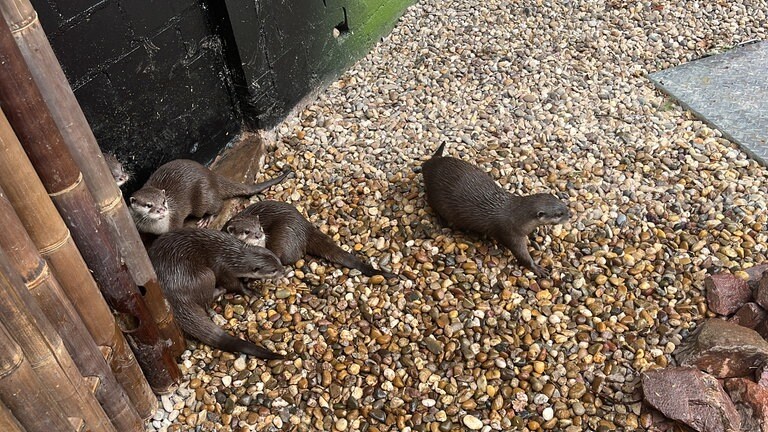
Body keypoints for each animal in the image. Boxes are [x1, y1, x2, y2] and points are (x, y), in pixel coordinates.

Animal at [130, 159, 290, 234]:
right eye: (149, 205)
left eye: (163, 201)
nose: (162, 210)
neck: (154, 228)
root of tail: (211, 176)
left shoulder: (175, 220)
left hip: (203, 197)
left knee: (217, 205)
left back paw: (206, 219)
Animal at [148, 228, 285, 359]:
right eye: (273, 270)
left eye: (279, 262)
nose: (283, 271)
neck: (231, 257)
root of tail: (171, 294)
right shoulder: (223, 269)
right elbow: (233, 285)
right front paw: (251, 291)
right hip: (205, 275)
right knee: (206, 298)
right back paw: (219, 291)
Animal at [422, 143, 570, 277]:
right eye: (559, 214)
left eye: (563, 204)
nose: (570, 214)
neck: (516, 216)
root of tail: (429, 164)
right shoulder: (511, 234)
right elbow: (522, 255)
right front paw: (536, 268)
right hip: (436, 197)